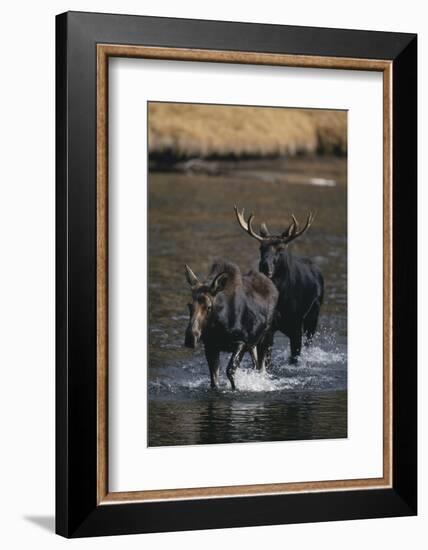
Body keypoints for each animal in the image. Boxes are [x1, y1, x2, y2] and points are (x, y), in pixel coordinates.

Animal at [183, 260, 278, 390]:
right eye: (189, 305)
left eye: (208, 307)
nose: (190, 337)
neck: (218, 326)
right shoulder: (211, 346)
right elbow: (214, 380)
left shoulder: (241, 342)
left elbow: (230, 371)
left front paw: (236, 388)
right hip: (253, 344)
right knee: (255, 364)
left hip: (266, 338)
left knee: (262, 368)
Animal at [236, 205, 322, 364]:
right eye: (261, 248)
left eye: (281, 249)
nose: (264, 265)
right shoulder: (268, 328)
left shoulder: (296, 326)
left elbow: (294, 357)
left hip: (313, 316)